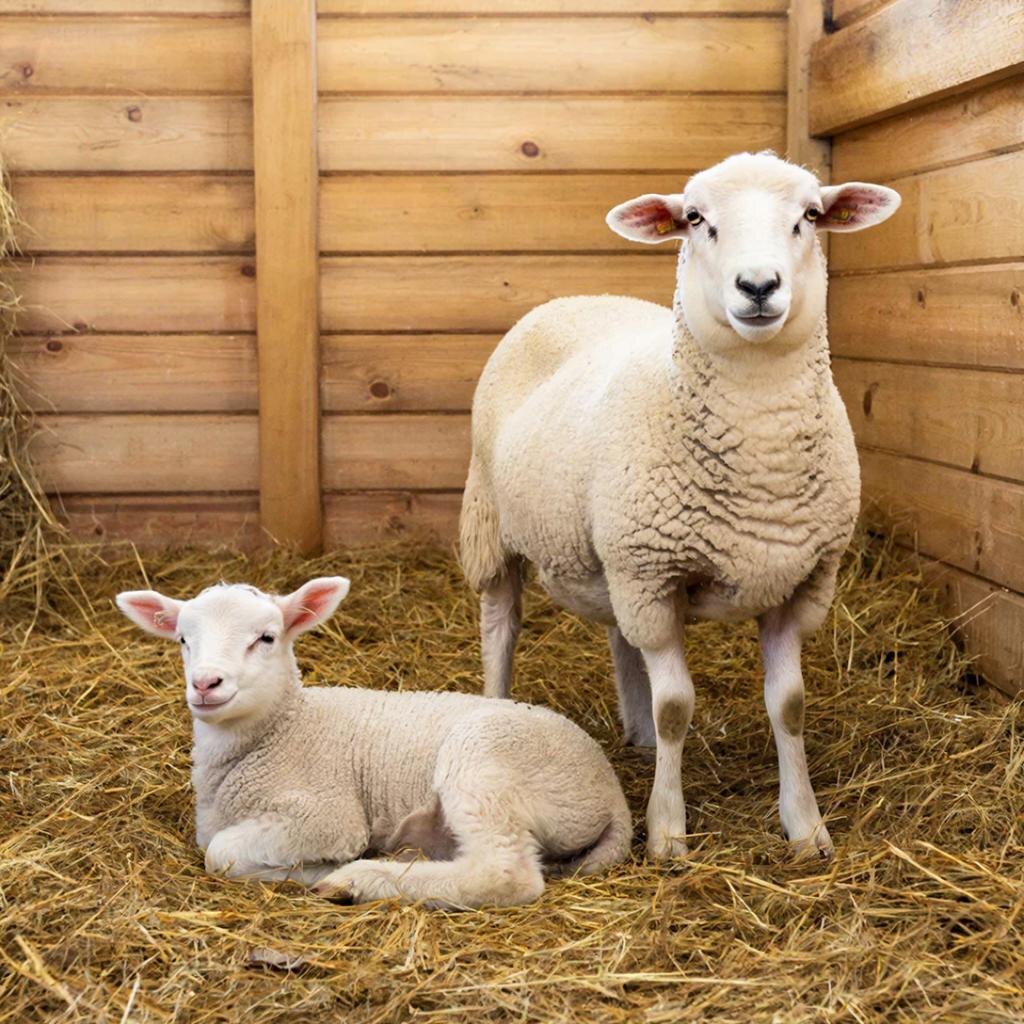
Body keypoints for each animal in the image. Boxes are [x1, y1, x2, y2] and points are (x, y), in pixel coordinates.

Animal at [115, 576, 632, 909]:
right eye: (183, 640)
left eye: (266, 638)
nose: (206, 683)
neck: (284, 729)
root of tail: (611, 791)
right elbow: (215, 845)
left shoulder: (327, 815)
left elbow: (219, 854)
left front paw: (316, 870)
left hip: (485, 762)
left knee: (505, 873)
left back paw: (359, 880)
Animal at [459, 151, 900, 862]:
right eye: (695, 218)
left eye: (810, 215)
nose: (758, 285)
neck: (761, 452)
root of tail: (583, 297)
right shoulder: (653, 573)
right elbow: (677, 710)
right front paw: (667, 833)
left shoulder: (799, 582)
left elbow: (790, 706)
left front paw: (806, 829)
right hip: (495, 525)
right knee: (502, 623)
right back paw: (498, 705)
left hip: (615, 554)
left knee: (619, 636)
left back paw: (636, 734)